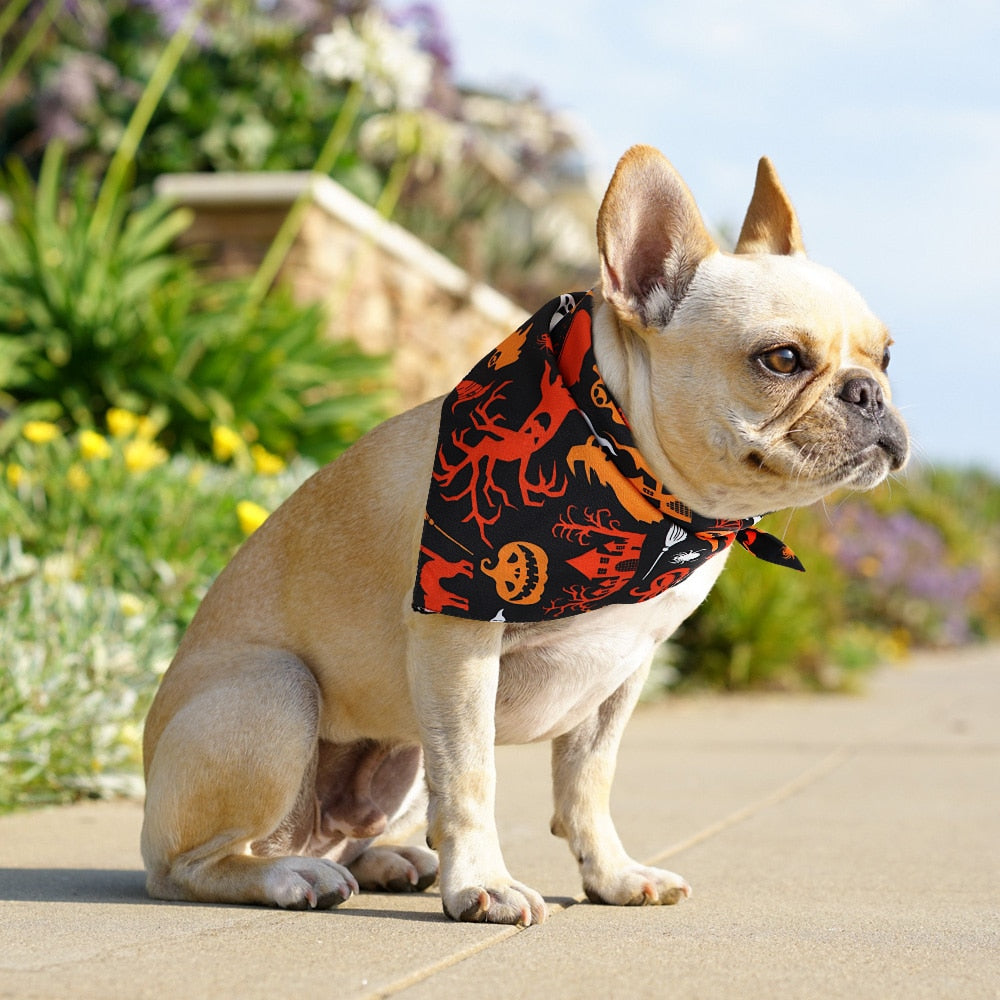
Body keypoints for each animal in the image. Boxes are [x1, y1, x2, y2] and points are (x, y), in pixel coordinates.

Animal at [143, 146, 916, 920]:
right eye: (781, 359)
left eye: (885, 357)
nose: (870, 394)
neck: (638, 478)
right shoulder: (458, 645)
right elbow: (471, 779)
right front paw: (482, 885)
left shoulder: (622, 672)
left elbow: (588, 781)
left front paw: (612, 875)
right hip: (278, 692)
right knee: (194, 865)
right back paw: (287, 876)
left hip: (398, 751)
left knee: (345, 837)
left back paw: (390, 860)